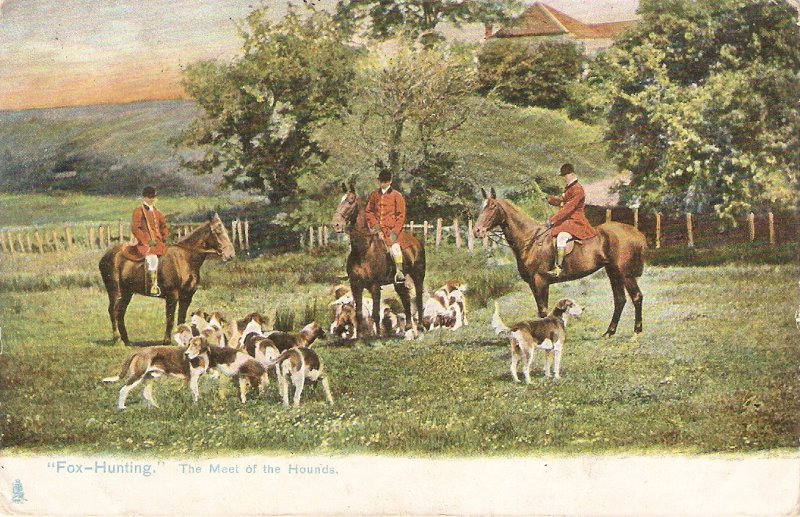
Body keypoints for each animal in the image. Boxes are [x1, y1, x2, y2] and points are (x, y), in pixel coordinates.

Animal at [97, 212, 234, 344]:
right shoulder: (172, 296)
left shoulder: (187, 296)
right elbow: (170, 318)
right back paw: (117, 338)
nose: (231, 255)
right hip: (115, 291)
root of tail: (106, 255)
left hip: (127, 293)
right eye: (218, 232)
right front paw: (167, 341)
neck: (185, 257)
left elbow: (181, 318)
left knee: (120, 313)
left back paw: (126, 340)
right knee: (113, 311)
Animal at [330, 183, 428, 336]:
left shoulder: (374, 286)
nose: (336, 224)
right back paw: (407, 327)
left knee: (418, 298)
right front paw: (360, 337)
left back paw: (421, 326)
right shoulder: (355, 286)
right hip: (399, 282)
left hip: (418, 276)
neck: (363, 250)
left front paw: (378, 336)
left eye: (350, 201)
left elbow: (375, 314)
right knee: (405, 298)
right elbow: (358, 313)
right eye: (341, 200)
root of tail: (416, 242)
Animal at [472, 187, 648, 336]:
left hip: (625, 274)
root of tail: (635, 232)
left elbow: (543, 311)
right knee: (620, 299)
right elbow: (542, 310)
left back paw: (636, 332)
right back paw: (609, 332)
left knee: (636, 297)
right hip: (613, 272)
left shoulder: (540, 280)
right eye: (482, 206)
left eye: (492, 206)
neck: (532, 239)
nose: (477, 231)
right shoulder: (534, 283)